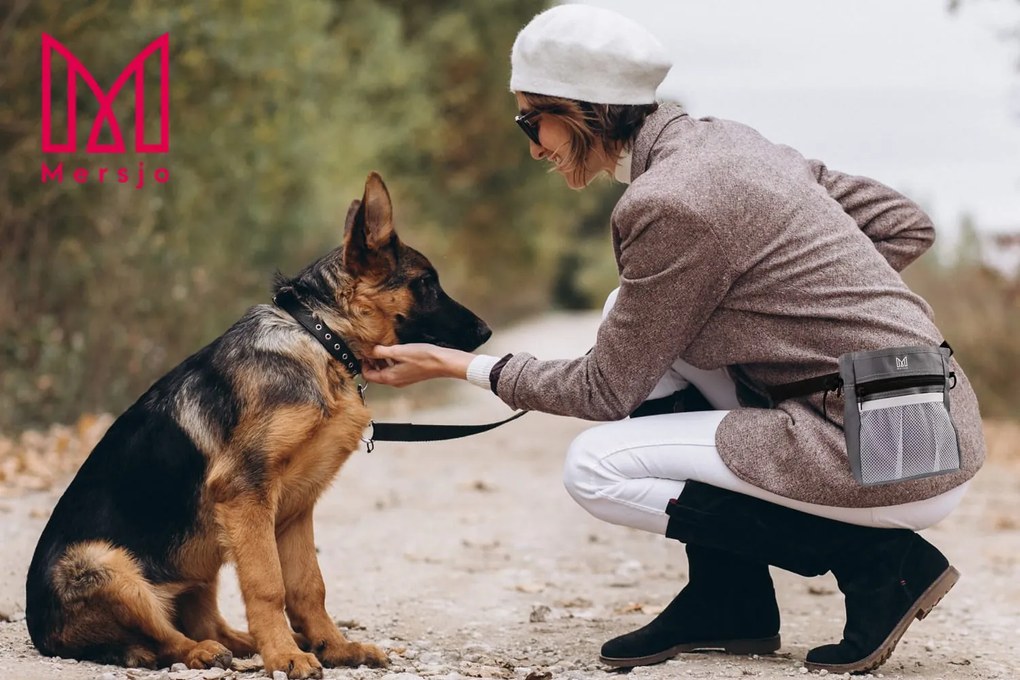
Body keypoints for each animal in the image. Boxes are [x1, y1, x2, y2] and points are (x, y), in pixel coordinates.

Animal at [20, 173, 489, 676]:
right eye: (427, 284)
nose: (486, 333)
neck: (319, 337)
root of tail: (41, 634)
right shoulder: (247, 493)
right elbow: (269, 585)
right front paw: (285, 656)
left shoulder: (296, 508)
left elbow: (309, 586)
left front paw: (332, 646)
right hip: (105, 563)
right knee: (167, 638)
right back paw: (205, 652)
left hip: (200, 560)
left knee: (206, 623)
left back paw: (252, 645)